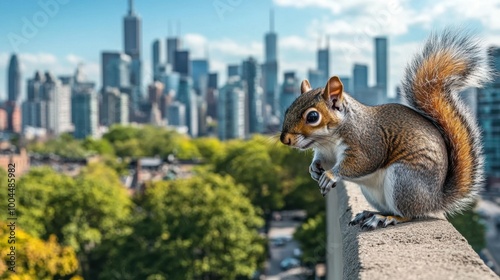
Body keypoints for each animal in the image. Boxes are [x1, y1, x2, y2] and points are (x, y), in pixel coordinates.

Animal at [282, 30, 492, 230]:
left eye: (312, 117)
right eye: (287, 108)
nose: (285, 140)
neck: (328, 140)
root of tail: (434, 200)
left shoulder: (367, 142)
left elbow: (362, 162)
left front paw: (331, 175)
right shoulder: (327, 152)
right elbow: (323, 160)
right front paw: (314, 168)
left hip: (404, 181)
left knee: (409, 213)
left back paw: (389, 218)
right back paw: (371, 214)